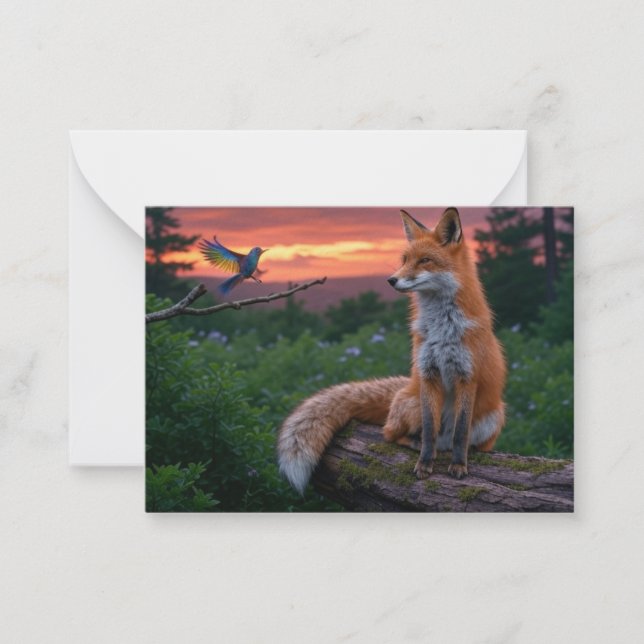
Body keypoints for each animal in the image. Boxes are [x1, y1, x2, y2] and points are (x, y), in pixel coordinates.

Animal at [277, 207, 506, 493]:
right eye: (405, 259)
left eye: (425, 261)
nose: (391, 280)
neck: (442, 329)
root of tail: (403, 389)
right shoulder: (428, 373)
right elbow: (429, 429)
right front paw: (424, 464)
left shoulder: (467, 376)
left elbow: (461, 432)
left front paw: (459, 465)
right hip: (412, 403)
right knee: (390, 433)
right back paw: (415, 444)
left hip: (493, 416)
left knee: (463, 440)